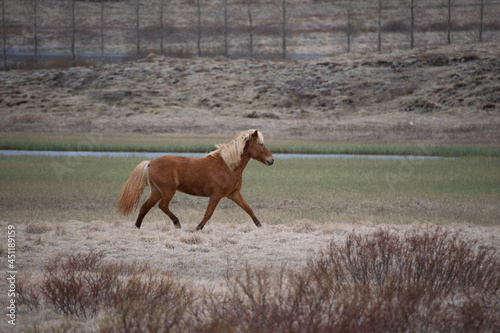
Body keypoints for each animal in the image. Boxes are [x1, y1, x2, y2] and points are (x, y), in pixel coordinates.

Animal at [116, 128, 274, 230]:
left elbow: (248, 209)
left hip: (156, 191)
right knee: (162, 206)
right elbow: (208, 213)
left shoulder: (234, 194)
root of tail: (152, 162)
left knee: (145, 207)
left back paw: (137, 227)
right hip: (167, 191)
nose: (271, 160)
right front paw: (198, 228)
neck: (227, 166)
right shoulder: (216, 195)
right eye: (260, 144)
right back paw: (177, 223)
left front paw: (260, 226)